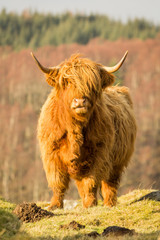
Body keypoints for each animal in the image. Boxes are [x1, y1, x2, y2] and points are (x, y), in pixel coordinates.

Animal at [31, 50, 138, 208]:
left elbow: (91, 182)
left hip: (118, 161)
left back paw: (109, 204)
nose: (80, 101)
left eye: (92, 85)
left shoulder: (99, 154)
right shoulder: (51, 154)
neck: (74, 128)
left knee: (110, 183)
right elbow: (58, 182)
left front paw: (90, 204)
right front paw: (55, 205)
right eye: (67, 83)